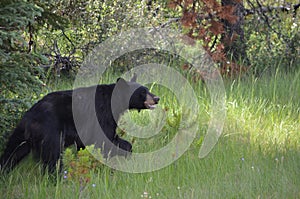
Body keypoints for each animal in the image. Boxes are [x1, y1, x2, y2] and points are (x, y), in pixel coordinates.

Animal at [0, 76, 159, 173]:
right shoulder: (102, 113)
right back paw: (57, 178)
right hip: (50, 129)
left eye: (147, 89)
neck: (114, 102)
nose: (157, 98)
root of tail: (30, 115)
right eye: (142, 92)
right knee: (53, 155)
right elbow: (105, 138)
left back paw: (4, 170)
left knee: (13, 151)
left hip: (21, 133)